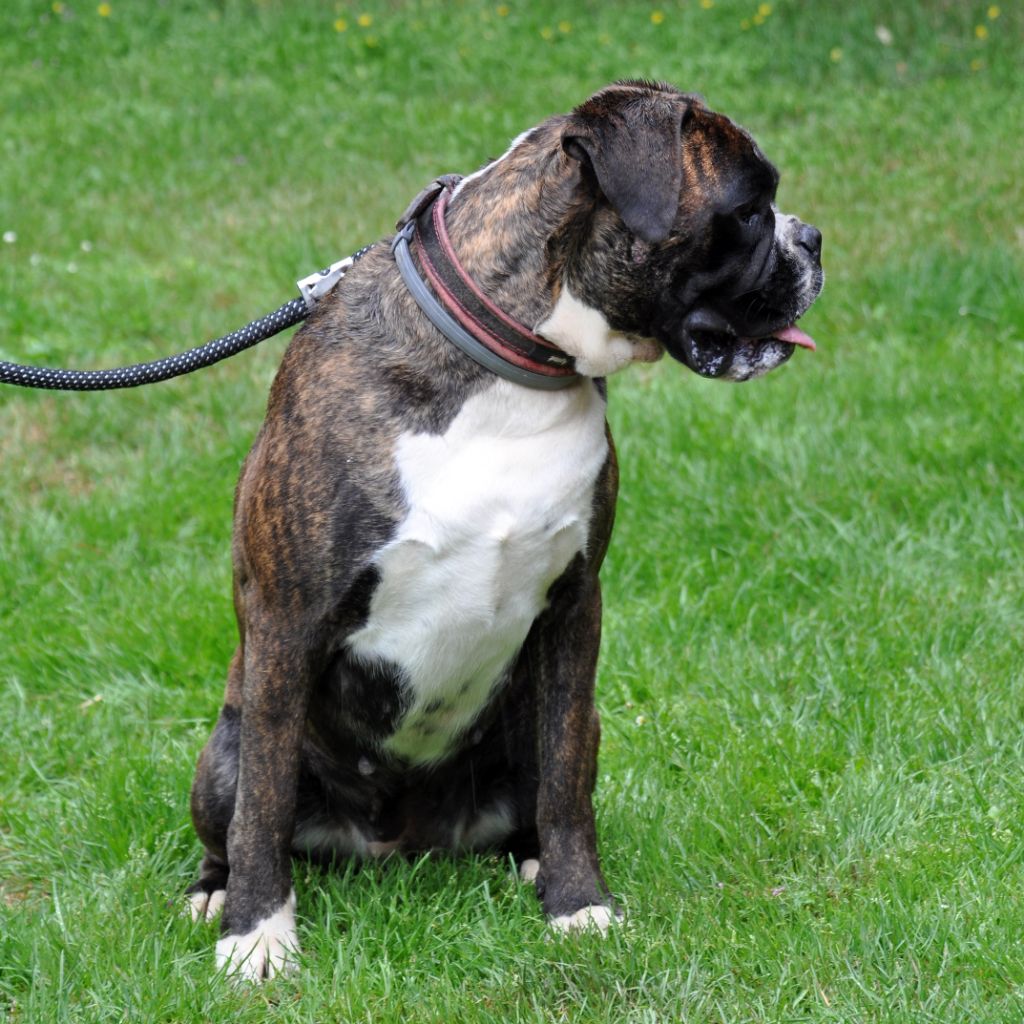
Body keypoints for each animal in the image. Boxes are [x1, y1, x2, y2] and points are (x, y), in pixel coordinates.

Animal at [186, 77, 823, 974]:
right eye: (749, 207)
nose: (814, 240)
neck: (512, 370)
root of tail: (397, 841)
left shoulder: (574, 610)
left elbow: (563, 786)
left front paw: (578, 902)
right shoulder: (287, 625)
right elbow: (265, 807)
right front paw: (258, 938)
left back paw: (531, 863)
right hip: (225, 743)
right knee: (237, 813)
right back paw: (215, 892)